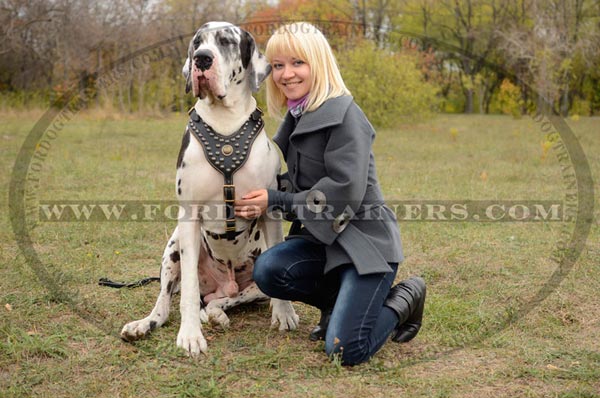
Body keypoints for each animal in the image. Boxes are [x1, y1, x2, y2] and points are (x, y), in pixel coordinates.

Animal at [121, 21, 300, 356]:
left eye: (227, 40)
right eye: (196, 42)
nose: (202, 59)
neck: (225, 123)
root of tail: (222, 284)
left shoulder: (268, 210)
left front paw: (284, 313)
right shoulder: (189, 216)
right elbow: (188, 293)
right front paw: (190, 335)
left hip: (249, 287)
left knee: (223, 301)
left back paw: (218, 313)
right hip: (173, 247)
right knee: (167, 303)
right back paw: (145, 324)